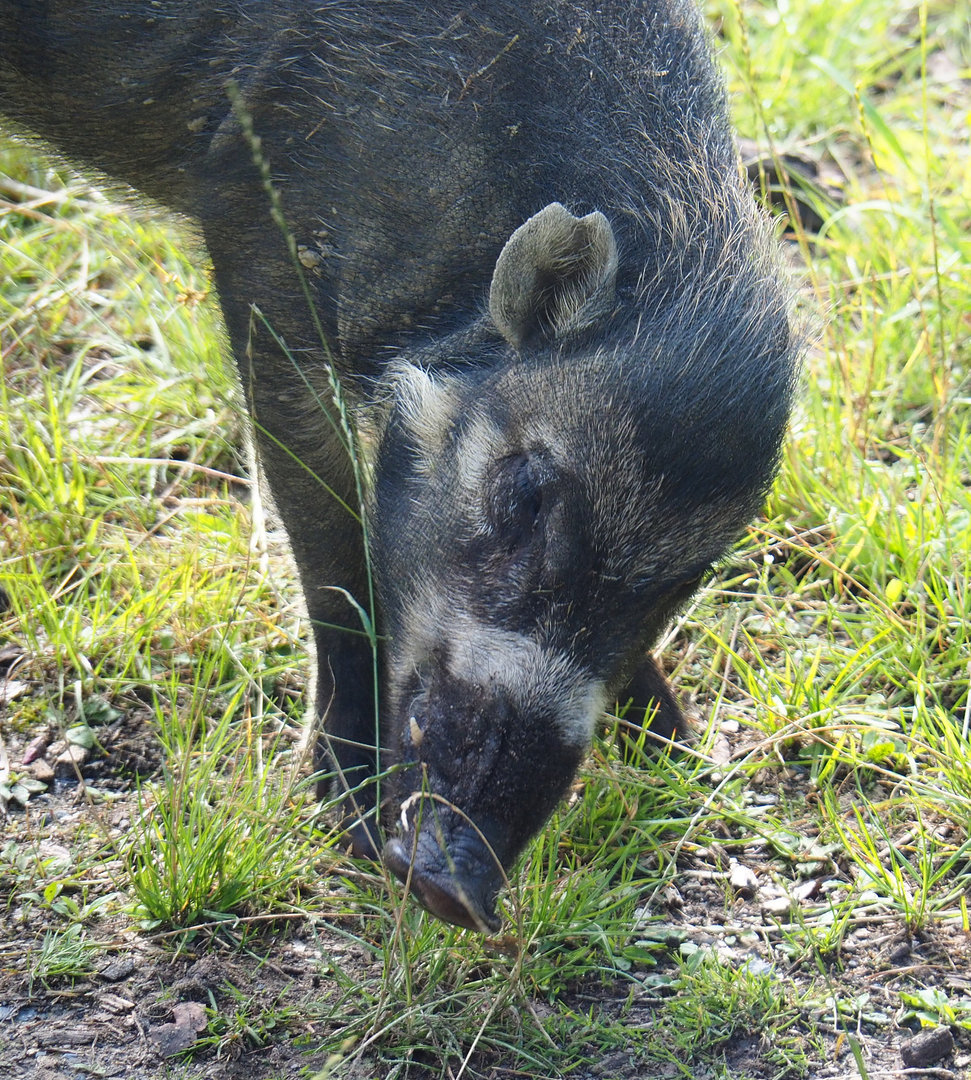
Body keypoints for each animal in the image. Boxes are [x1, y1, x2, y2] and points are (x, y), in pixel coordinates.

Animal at [0, 0, 797, 933]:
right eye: (525, 492)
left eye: (684, 582)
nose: (457, 887)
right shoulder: (261, 240)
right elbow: (331, 548)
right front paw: (340, 811)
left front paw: (682, 750)